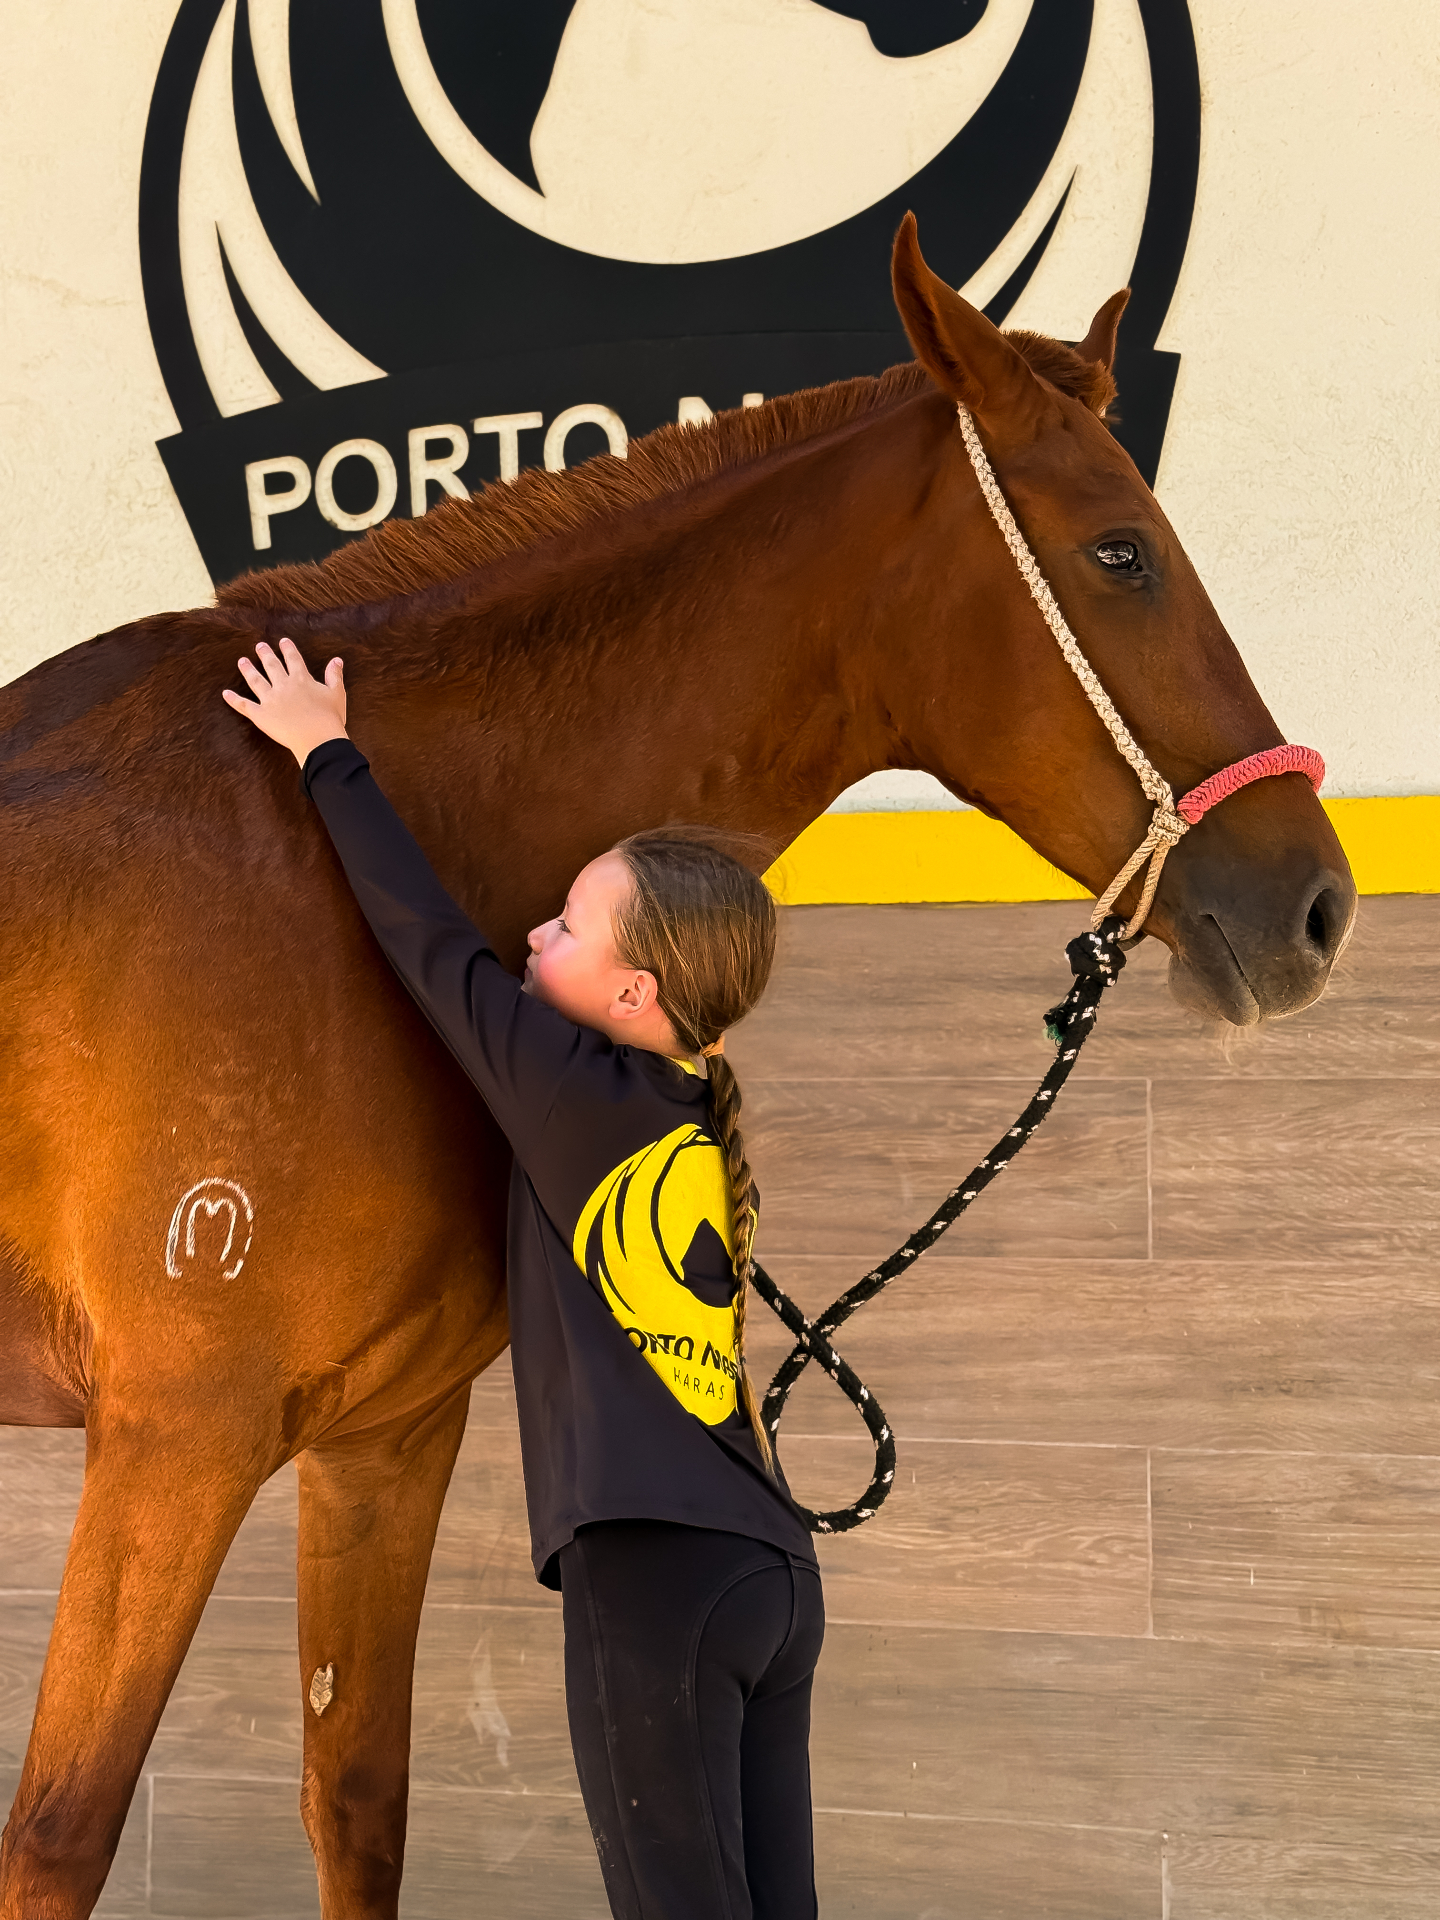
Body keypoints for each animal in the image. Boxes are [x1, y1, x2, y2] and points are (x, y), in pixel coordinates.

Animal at [0, 216, 1355, 1917]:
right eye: (1123, 551)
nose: (1317, 906)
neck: (300, 870)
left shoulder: (383, 1439)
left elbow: (355, 1799)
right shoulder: (174, 1445)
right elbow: (60, 1833)